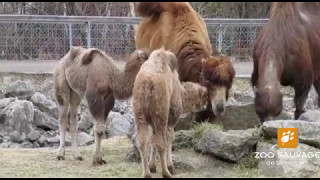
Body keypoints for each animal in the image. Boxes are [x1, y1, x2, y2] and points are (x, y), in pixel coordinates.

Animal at [132, 48, 208, 179]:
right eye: (204, 97)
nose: (206, 105)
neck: (182, 94)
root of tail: (147, 83)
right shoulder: (172, 117)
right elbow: (170, 138)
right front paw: (171, 167)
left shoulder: (152, 122)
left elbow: (152, 139)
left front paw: (152, 166)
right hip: (161, 112)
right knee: (160, 143)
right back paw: (166, 172)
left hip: (140, 113)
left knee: (142, 142)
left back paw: (146, 173)